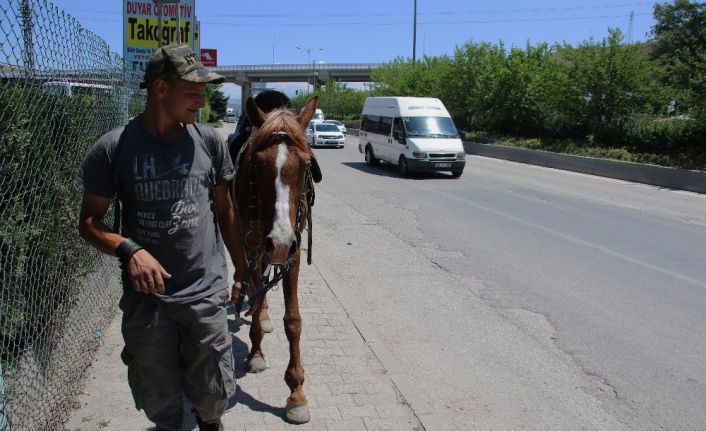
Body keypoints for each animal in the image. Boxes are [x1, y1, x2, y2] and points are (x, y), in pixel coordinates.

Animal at [231, 96, 320, 424]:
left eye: (307, 165)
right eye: (256, 165)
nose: (279, 242)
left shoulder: (293, 250)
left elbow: (293, 320)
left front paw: (296, 393)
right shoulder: (255, 244)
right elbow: (256, 298)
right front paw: (256, 353)